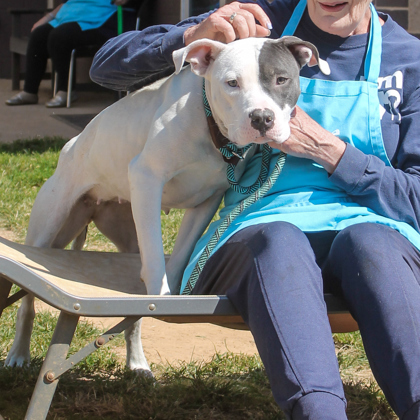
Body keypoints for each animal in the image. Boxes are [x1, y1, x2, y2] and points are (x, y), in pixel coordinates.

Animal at [5, 36, 329, 374]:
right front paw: (160, 293)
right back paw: (19, 354)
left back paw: (136, 363)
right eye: (232, 83)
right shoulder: (147, 178)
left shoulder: (206, 202)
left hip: (125, 232)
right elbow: (155, 257)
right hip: (51, 227)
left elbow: (178, 258)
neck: (209, 126)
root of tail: (70, 146)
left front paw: (170, 299)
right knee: (27, 302)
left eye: (281, 79)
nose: (262, 118)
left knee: (132, 319)